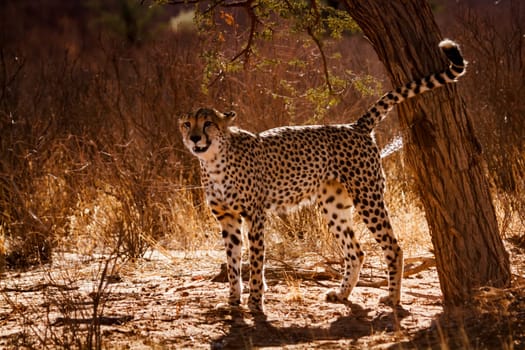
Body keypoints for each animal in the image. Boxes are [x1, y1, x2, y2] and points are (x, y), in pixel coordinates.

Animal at [180, 40, 466, 312]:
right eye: (187, 123)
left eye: (208, 123)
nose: (194, 138)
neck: (214, 162)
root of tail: (355, 125)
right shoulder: (227, 218)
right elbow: (232, 263)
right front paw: (231, 301)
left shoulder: (255, 215)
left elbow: (256, 261)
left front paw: (255, 302)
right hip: (333, 205)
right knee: (356, 252)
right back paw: (342, 294)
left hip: (368, 197)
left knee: (393, 247)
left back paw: (393, 298)